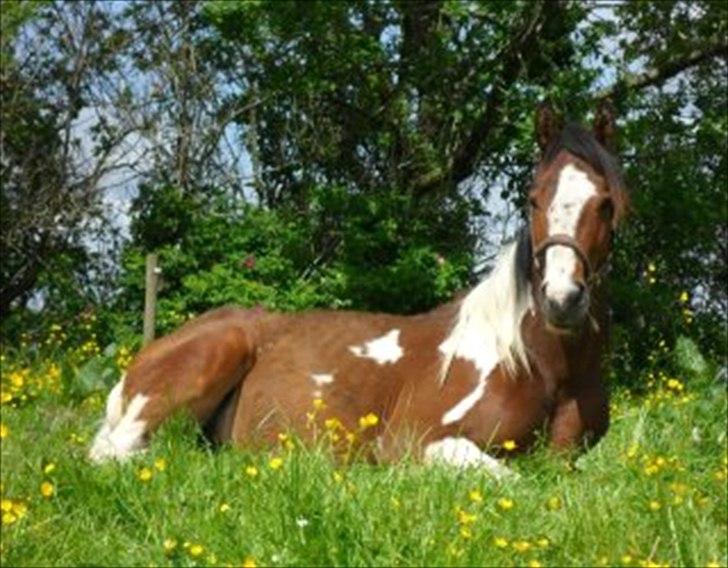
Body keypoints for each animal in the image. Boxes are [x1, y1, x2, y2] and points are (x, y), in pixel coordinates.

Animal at [89, 102, 624, 480]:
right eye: (533, 198)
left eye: (605, 203)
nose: (561, 299)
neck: (538, 363)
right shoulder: (419, 442)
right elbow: (517, 481)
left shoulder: (567, 460)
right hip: (207, 361)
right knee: (121, 457)